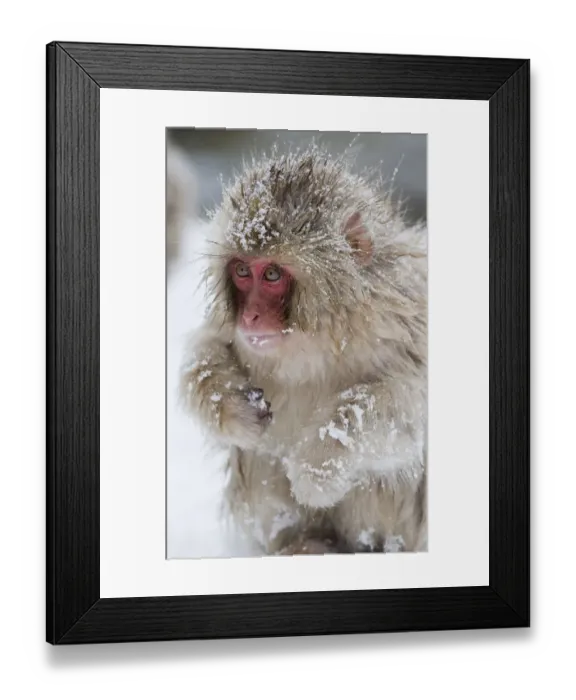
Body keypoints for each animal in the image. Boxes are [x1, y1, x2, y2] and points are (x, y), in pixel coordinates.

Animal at [178, 144, 428, 556]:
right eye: (242, 271)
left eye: (272, 275)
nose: (250, 316)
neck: (316, 338)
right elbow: (204, 349)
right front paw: (233, 407)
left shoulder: (405, 316)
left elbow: (410, 407)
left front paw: (319, 466)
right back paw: (301, 540)